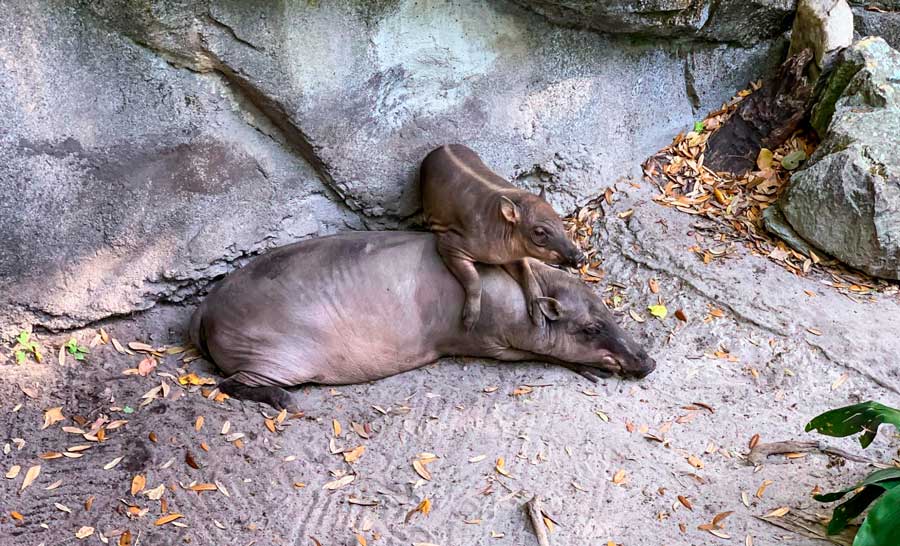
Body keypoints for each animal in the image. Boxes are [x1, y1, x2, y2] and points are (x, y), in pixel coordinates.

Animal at [189, 231, 655, 411]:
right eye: (590, 329)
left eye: (609, 311)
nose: (648, 362)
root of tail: (203, 312)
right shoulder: (490, 342)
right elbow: (543, 355)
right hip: (275, 357)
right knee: (229, 383)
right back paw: (286, 401)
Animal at [420, 144, 585, 331]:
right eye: (539, 232)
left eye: (560, 220)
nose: (580, 258)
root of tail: (441, 147)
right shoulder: (450, 244)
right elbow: (474, 281)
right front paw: (470, 321)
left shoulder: (513, 254)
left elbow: (527, 273)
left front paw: (538, 317)